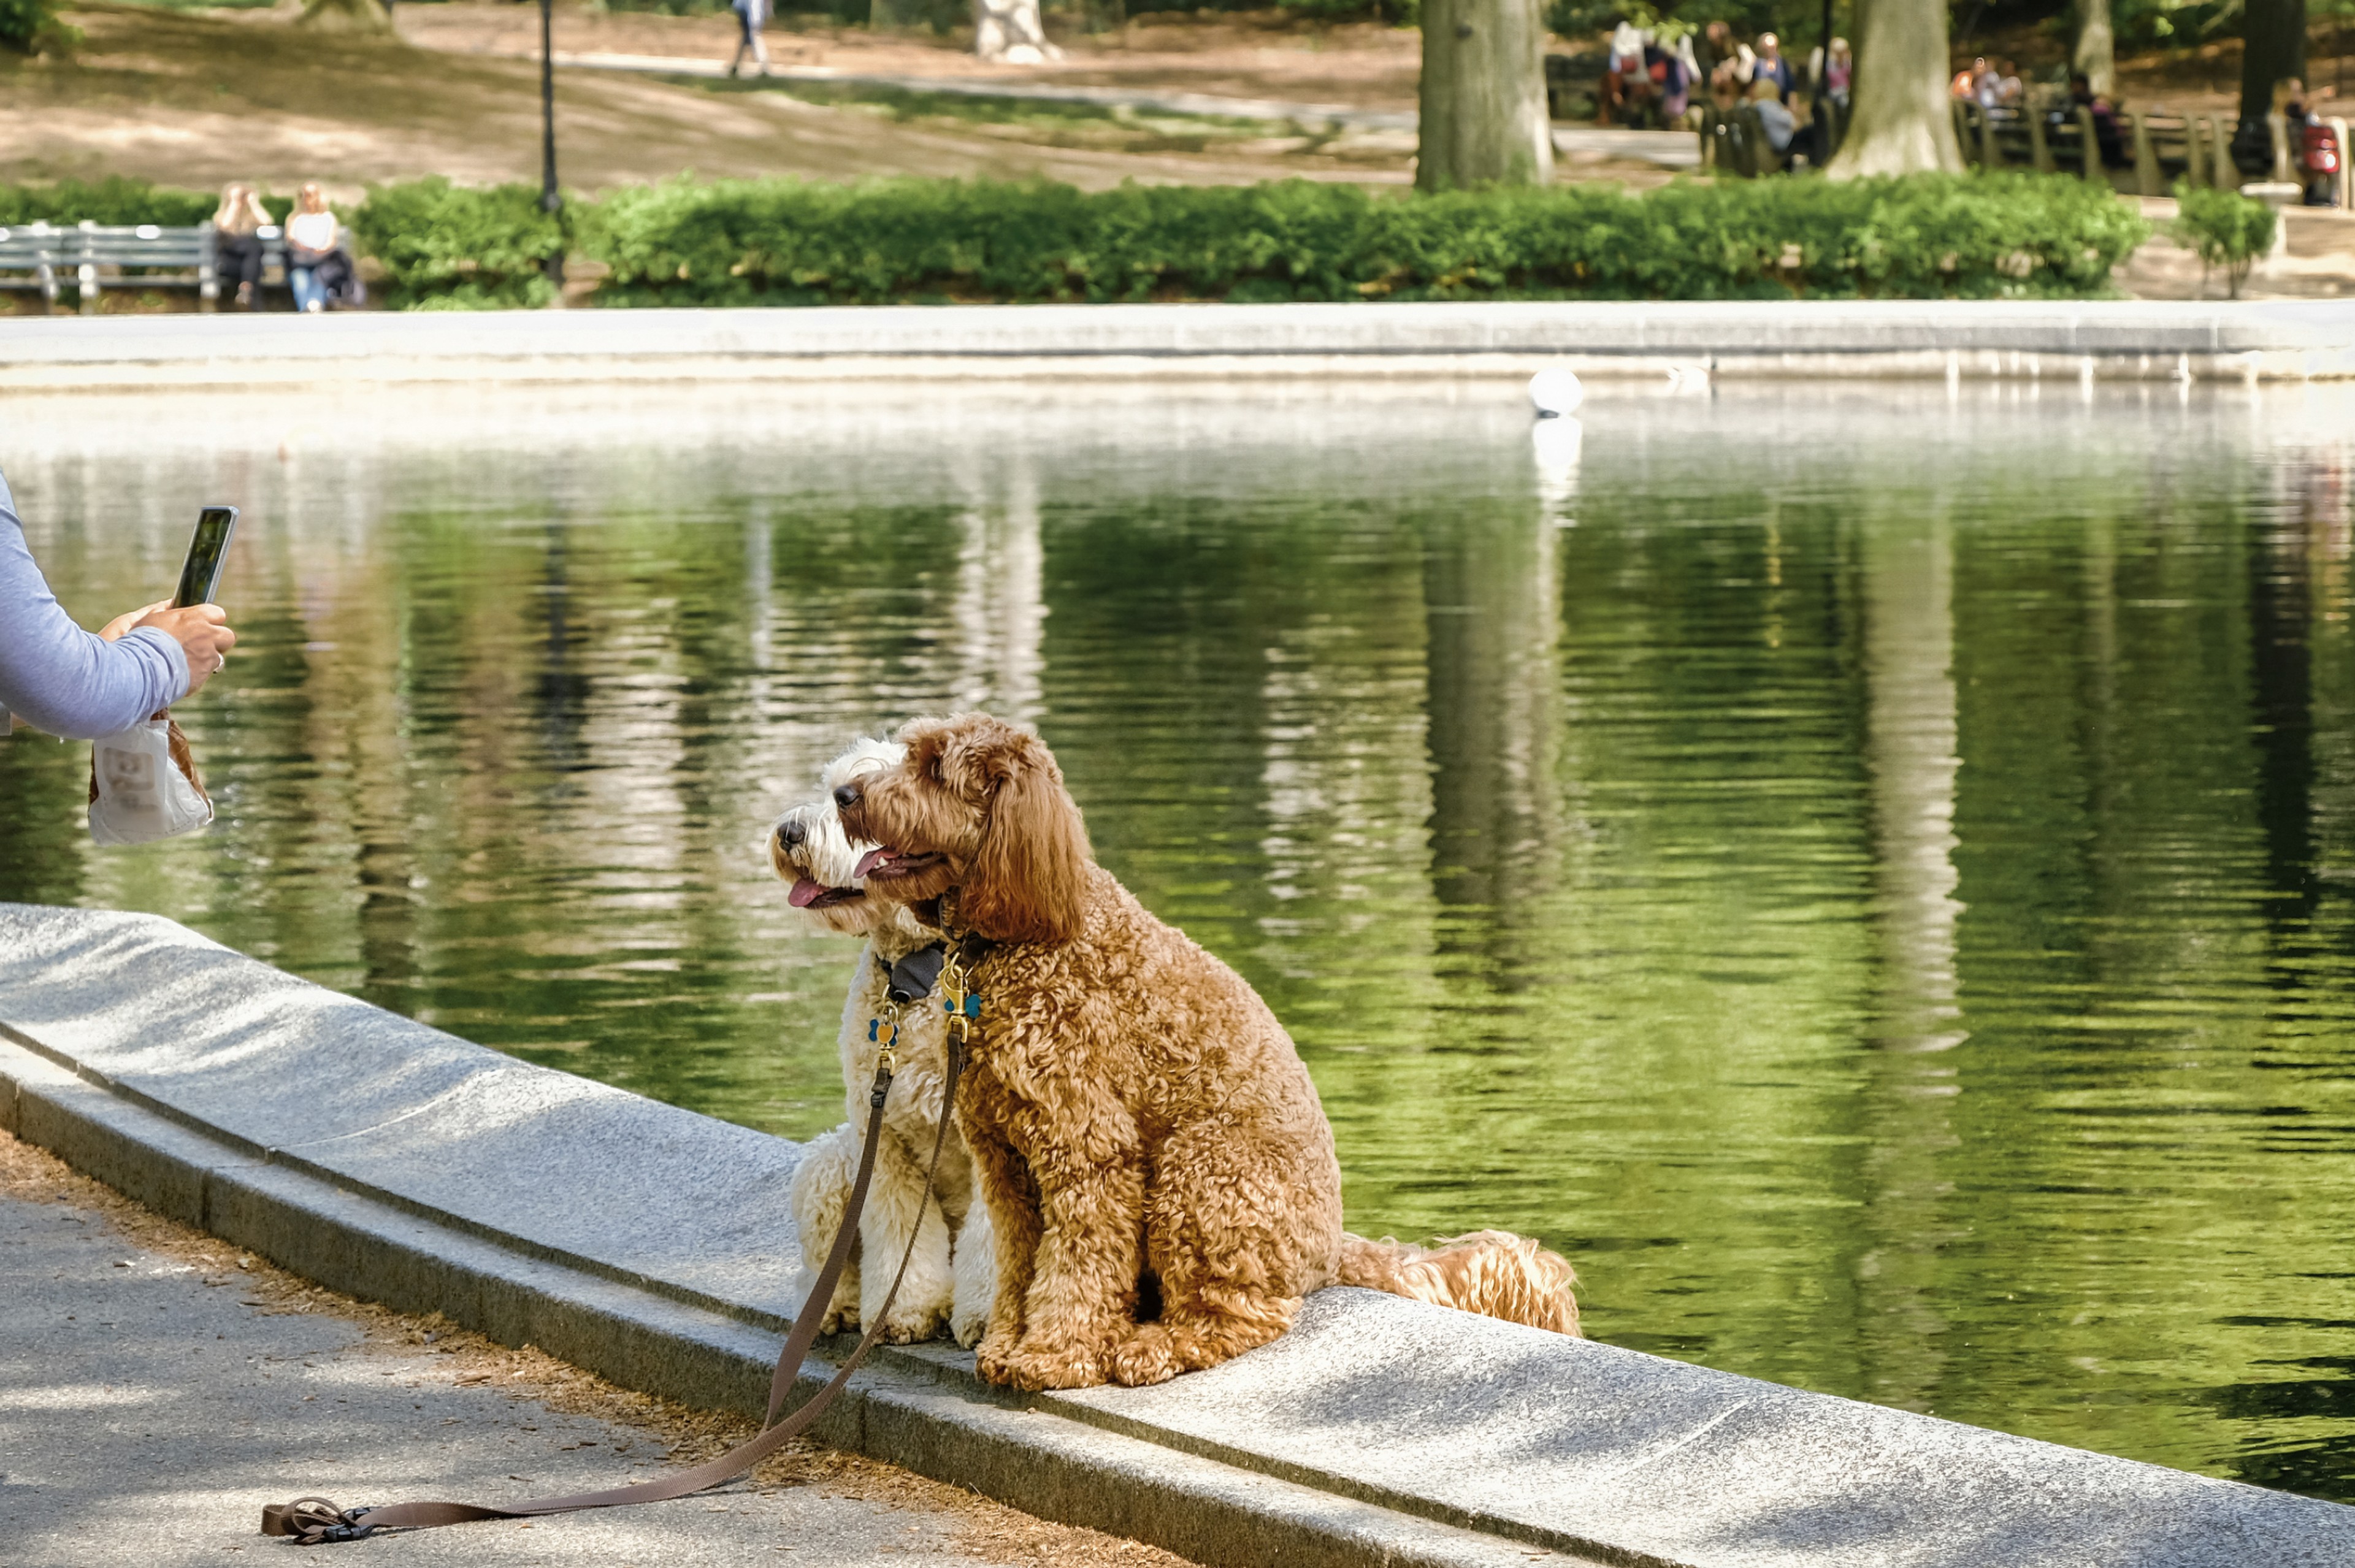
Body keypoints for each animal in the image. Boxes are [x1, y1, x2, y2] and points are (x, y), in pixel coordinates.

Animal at [772, 734, 994, 1347]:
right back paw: (832, 1309)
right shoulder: (885, 1140)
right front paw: (903, 1311)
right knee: (823, 1268)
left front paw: (987, 1316)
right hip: (832, 1164)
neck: (918, 976)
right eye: (831, 788)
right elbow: (897, 1237)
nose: (789, 831)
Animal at [829, 716, 1582, 1384]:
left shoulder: (1088, 1147)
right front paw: (1009, 1342)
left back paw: (1151, 1347)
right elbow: (1020, 1261)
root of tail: (1329, 1248)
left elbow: (1076, 1263)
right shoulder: (1005, 1160)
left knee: (1241, 1315)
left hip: (1201, 1173)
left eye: (934, 768)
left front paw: (1052, 1355)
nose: (844, 794)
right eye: (907, 752)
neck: (1026, 937)